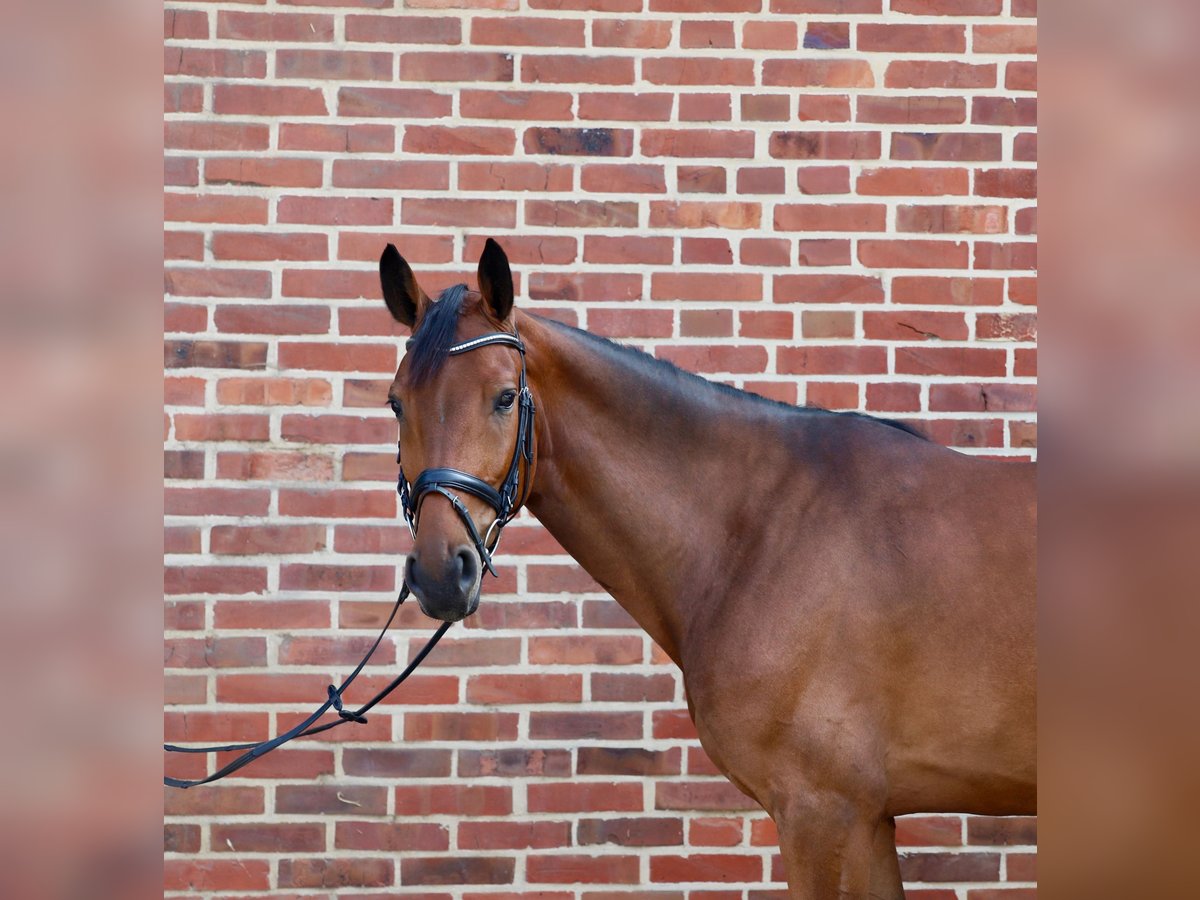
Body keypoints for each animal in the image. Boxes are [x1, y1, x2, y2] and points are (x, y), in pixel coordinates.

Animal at [378, 238, 1036, 899]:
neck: (763, 531)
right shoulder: (869, 819)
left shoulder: (823, 812)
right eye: (396, 403)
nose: (440, 574)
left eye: (505, 398)